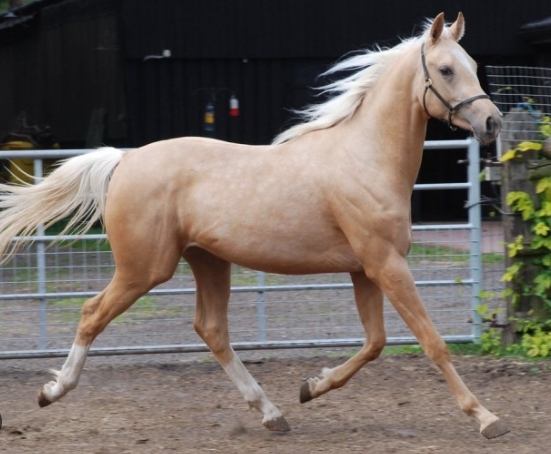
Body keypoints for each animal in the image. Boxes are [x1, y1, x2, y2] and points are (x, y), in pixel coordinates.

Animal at [0, 14, 508, 438]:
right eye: (446, 70)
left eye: (473, 65)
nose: (492, 122)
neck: (366, 158)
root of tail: (124, 159)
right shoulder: (386, 264)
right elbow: (432, 342)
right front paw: (486, 418)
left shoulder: (365, 269)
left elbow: (375, 343)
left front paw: (310, 387)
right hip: (144, 268)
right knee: (92, 313)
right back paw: (52, 391)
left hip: (208, 261)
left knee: (211, 330)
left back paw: (271, 413)